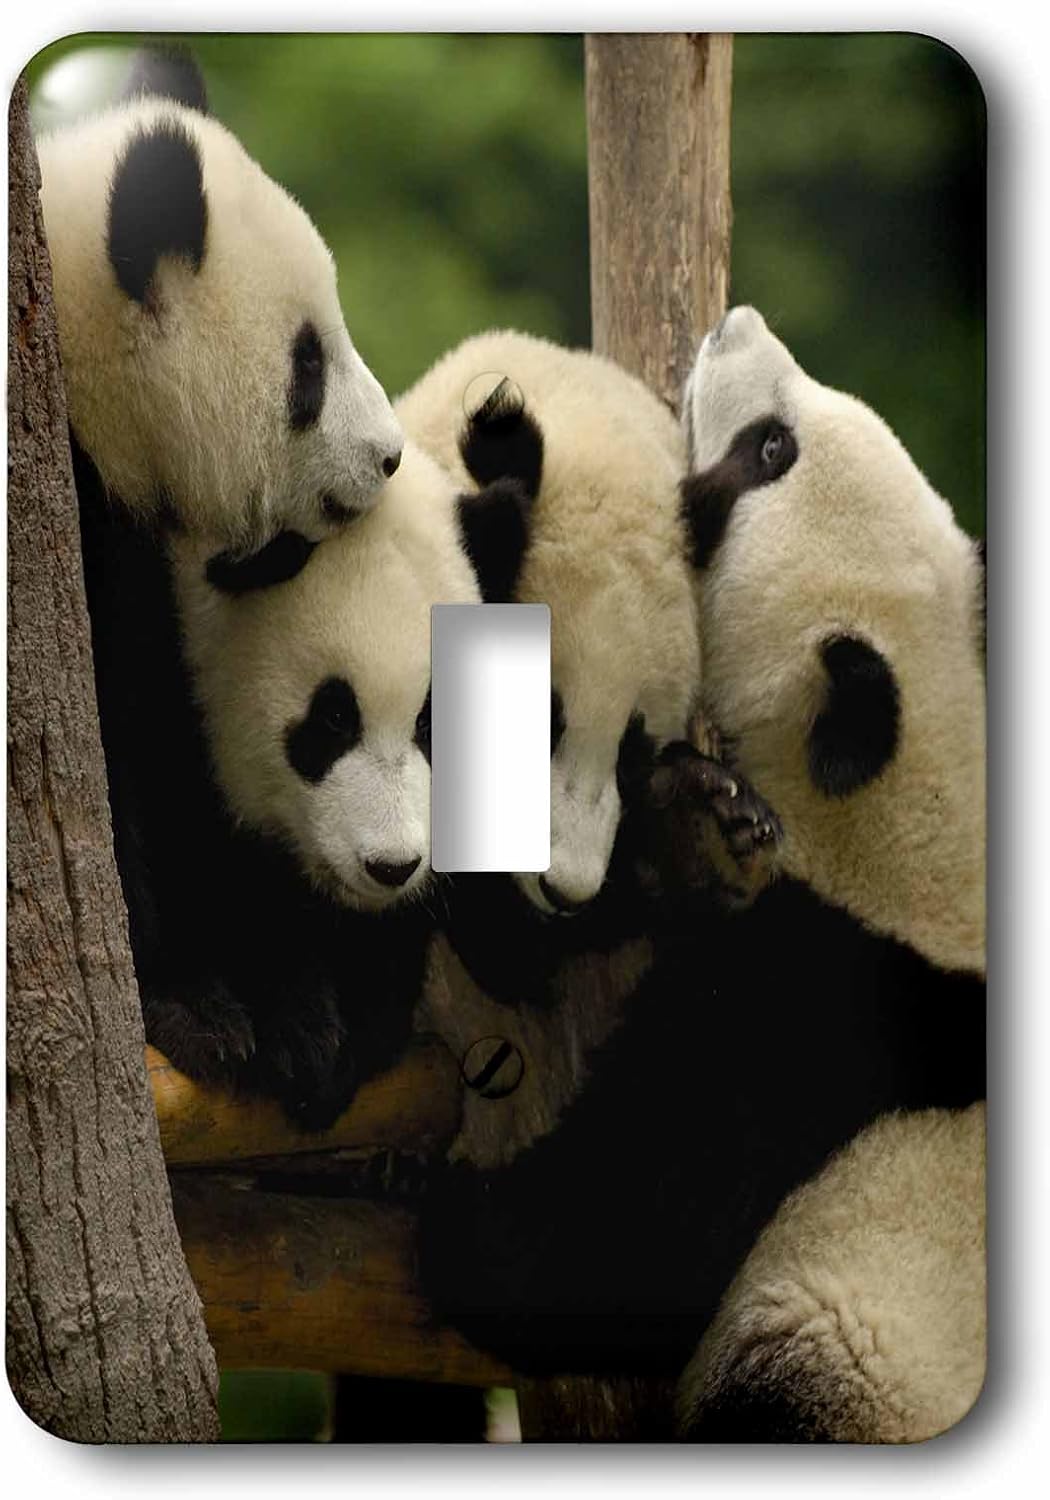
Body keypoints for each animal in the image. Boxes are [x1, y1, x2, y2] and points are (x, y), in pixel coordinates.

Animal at [415, 311, 985, 1429]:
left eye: (771, 451)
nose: (736, 323)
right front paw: (690, 822)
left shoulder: (815, 1003)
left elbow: (623, 1249)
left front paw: (452, 1220)